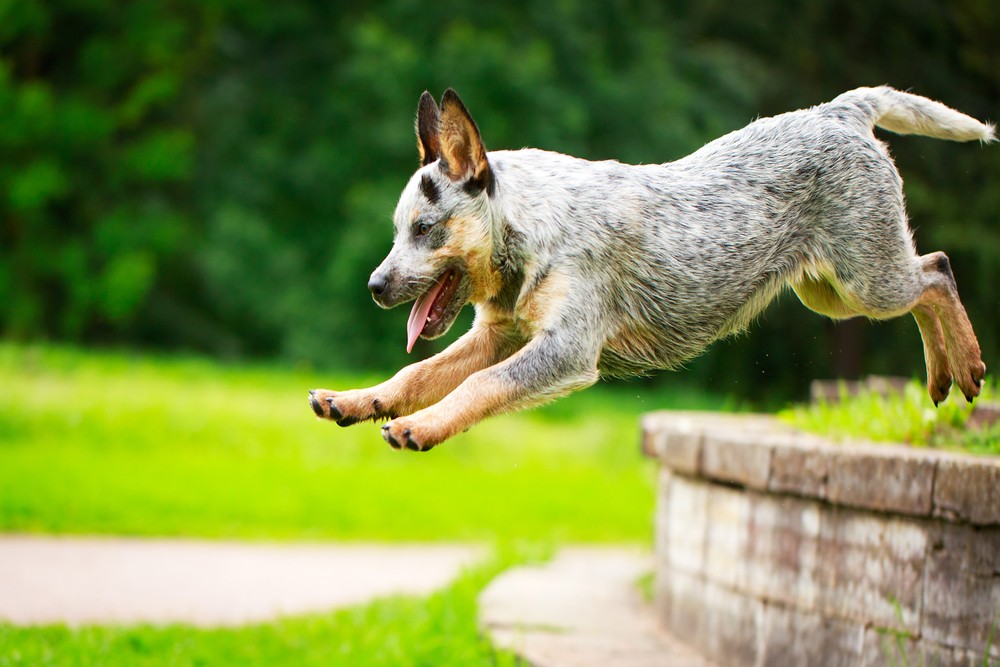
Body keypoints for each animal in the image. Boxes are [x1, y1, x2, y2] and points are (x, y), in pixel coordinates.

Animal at [308, 86, 996, 452]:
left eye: (425, 229)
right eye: (397, 230)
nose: (374, 286)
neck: (531, 233)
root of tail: (839, 110)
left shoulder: (564, 350)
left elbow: (478, 387)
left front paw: (418, 427)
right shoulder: (495, 336)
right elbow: (418, 371)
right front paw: (357, 400)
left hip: (866, 279)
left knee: (936, 272)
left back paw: (963, 365)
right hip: (828, 291)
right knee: (930, 275)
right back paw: (944, 376)